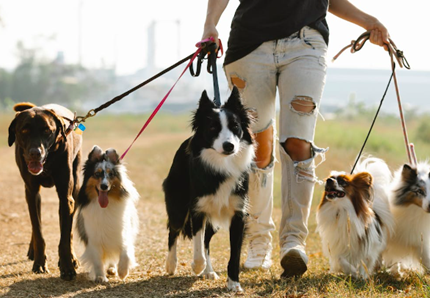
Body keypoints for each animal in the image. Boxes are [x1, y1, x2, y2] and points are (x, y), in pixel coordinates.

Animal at [8, 102, 82, 280]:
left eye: (47, 131)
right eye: (24, 131)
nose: (35, 153)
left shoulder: (66, 197)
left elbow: (65, 236)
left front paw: (67, 266)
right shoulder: (31, 192)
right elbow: (38, 231)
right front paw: (40, 263)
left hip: (75, 187)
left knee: (68, 229)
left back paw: (72, 258)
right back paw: (32, 250)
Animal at [75, 146, 139, 282]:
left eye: (111, 174)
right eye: (97, 174)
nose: (104, 186)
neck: (105, 207)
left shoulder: (122, 234)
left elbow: (125, 253)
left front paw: (122, 272)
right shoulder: (94, 239)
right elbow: (98, 261)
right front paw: (100, 277)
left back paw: (113, 269)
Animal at [163, 87, 254, 292]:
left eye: (235, 126)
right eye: (213, 128)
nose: (229, 146)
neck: (221, 165)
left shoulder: (238, 212)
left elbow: (234, 254)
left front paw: (234, 283)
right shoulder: (198, 208)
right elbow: (197, 245)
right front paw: (197, 266)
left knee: (206, 240)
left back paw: (209, 271)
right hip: (178, 204)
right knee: (173, 230)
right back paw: (172, 264)